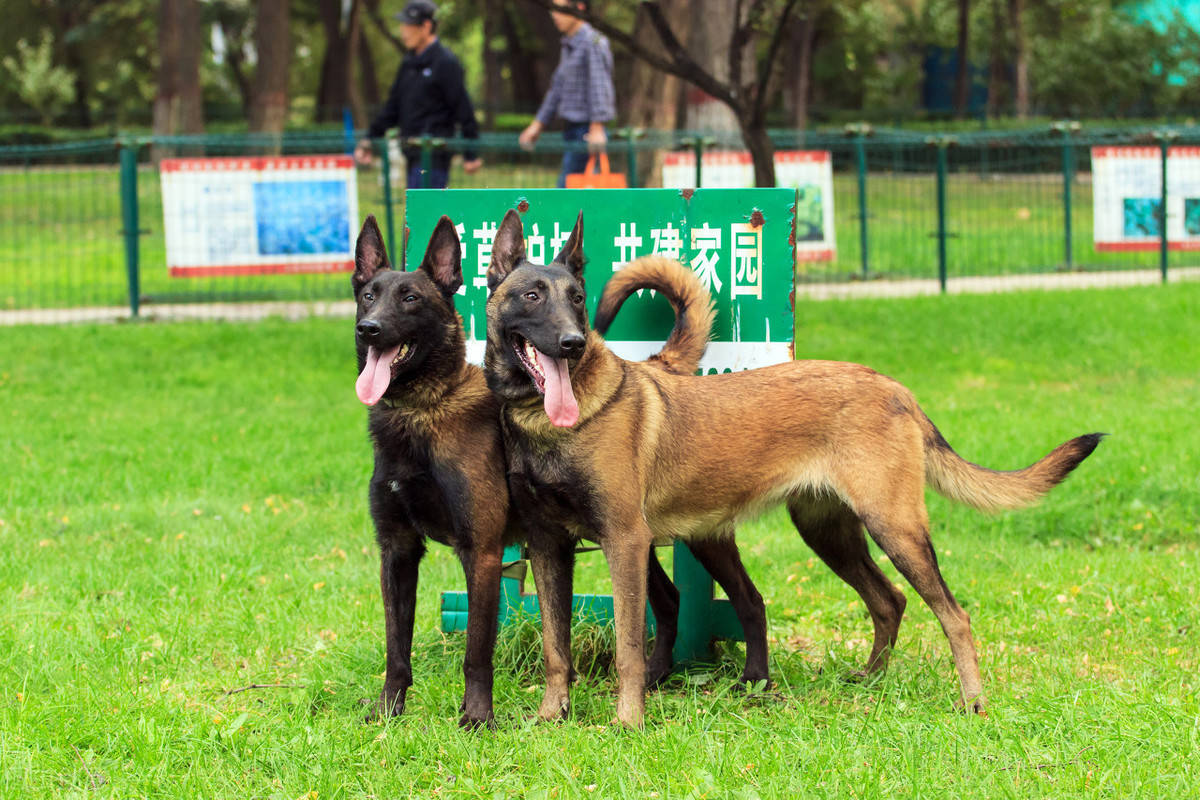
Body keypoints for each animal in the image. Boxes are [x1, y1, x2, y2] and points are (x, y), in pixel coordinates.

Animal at [482, 209, 1099, 729]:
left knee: (954, 615)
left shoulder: (623, 540)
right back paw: (867, 681)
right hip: (826, 533)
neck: (547, 421)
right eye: (532, 295)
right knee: (888, 601)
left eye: (578, 298)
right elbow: (555, 646)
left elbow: (630, 648)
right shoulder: (548, 547)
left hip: (895, 529)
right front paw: (551, 715)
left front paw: (628, 723)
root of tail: (894, 387)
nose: (573, 342)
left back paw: (972, 701)